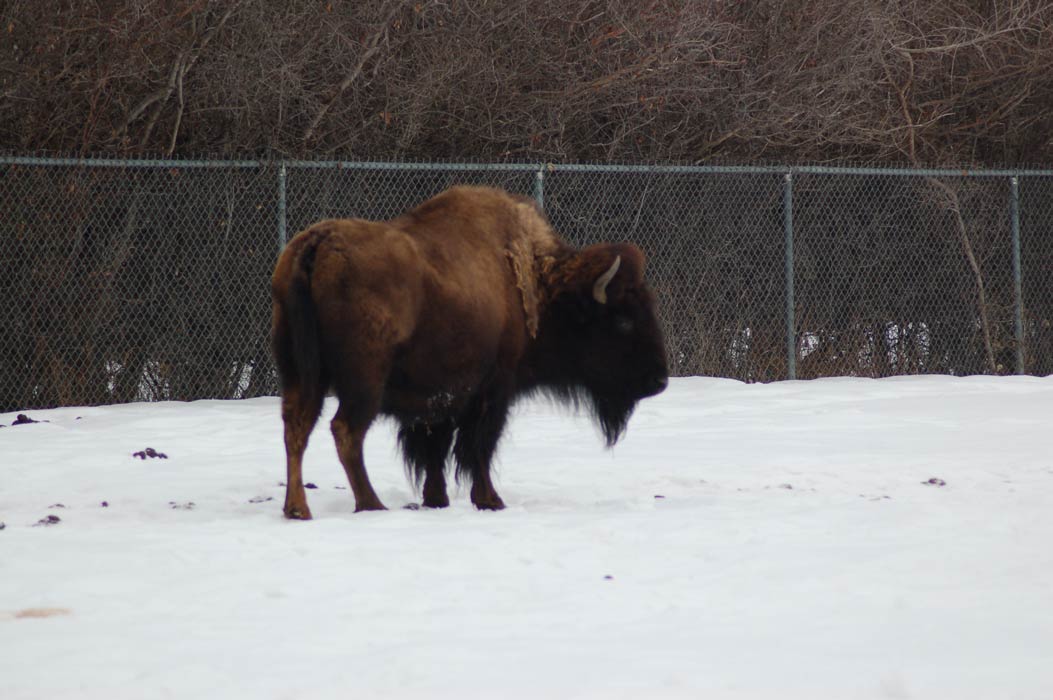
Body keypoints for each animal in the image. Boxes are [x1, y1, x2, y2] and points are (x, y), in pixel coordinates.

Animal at [271, 186, 668, 519]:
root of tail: (317, 242)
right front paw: (490, 500)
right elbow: (479, 446)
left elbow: (435, 450)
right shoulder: (493, 389)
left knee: (296, 427)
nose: (659, 381)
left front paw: (437, 499)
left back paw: (297, 509)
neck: (538, 286)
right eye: (623, 321)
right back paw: (371, 505)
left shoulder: (438, 398)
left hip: (299, 372)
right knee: (346, 431)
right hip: (363, 382)